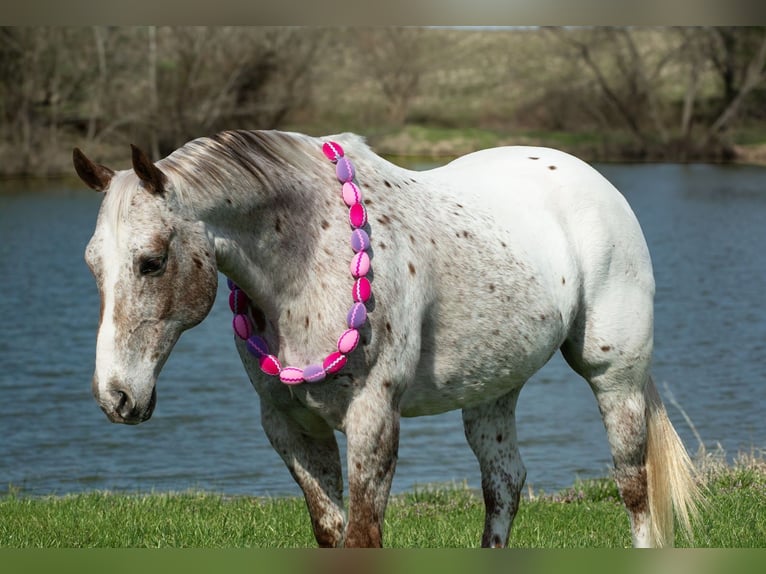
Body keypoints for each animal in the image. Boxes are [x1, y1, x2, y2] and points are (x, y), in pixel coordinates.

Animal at [73, 129, 700, 548]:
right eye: (92, 266)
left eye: (151, 262)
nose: (116, 396)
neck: (309, 254)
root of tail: (594, 180)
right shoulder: (290, 426)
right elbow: (332, 533)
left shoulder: (373, 416)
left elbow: (363, 537)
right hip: (494, 390)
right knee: (505, 485)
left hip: (614, 379)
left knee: (633, 487)